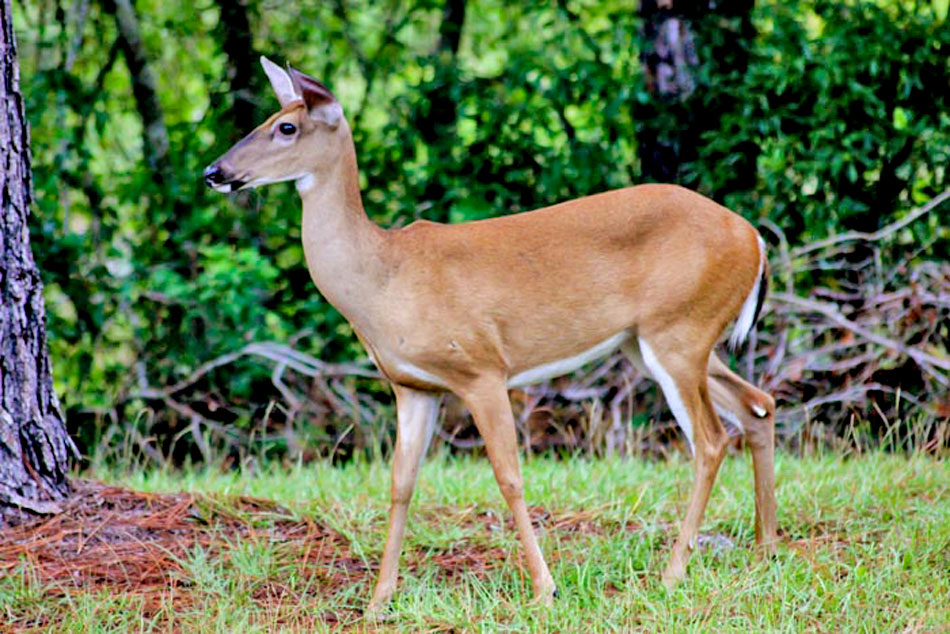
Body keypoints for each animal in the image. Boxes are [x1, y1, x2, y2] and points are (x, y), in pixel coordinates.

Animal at [205, 58, 776, 612]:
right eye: (268, 118)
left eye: (286, 127)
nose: (215, 172)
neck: (384, 279)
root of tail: (754, 239)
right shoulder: (412, 386)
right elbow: (400, 484)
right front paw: (378, 601)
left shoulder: (481, 367)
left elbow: (509, 475)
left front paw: (545, 589)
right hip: (655, 340)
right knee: (757, 405)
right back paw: (765, 548)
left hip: (678, 329)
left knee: (711, 438)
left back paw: (674, 571)